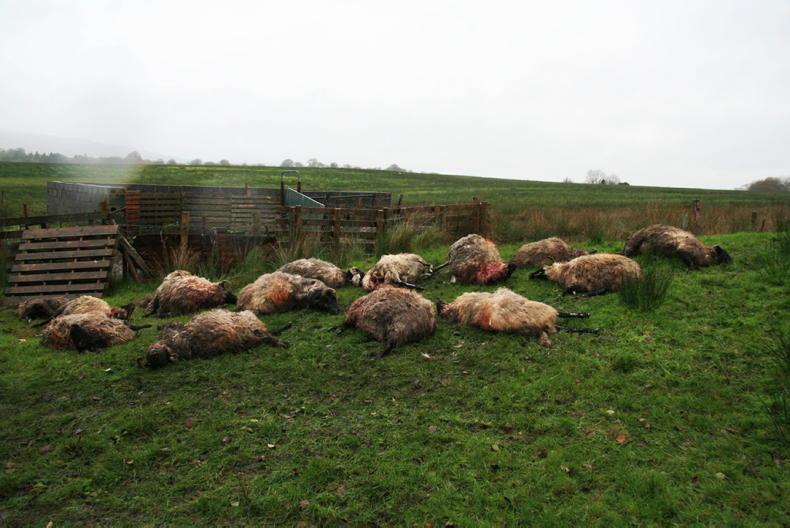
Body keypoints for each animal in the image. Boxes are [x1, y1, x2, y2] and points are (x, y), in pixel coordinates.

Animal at [437, 288, 597, 347]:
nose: (439, 303)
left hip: (538, 311)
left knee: (560, 316)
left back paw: (585, 318)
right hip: (535, 320)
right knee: (561, 326)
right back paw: (591, 328)